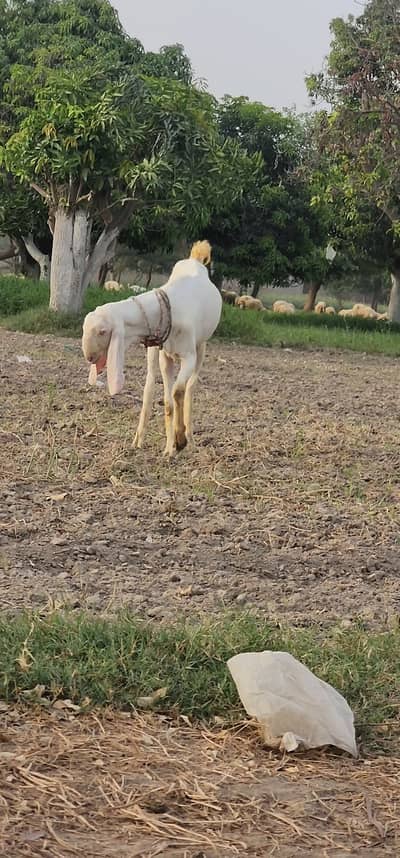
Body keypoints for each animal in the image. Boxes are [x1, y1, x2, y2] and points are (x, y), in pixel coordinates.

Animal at [82, 257, 222, 457]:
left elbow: (178, 392)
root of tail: (193, 259)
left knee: (190, 388)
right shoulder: (166, 357)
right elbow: (168, 403)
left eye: (102, 331)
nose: (89, 357)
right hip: (155, 352)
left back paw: (191, 440)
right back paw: (139, 441)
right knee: (149, 387)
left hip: (201, 347)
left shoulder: (188, 356)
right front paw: (170, 448)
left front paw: (180, 440)